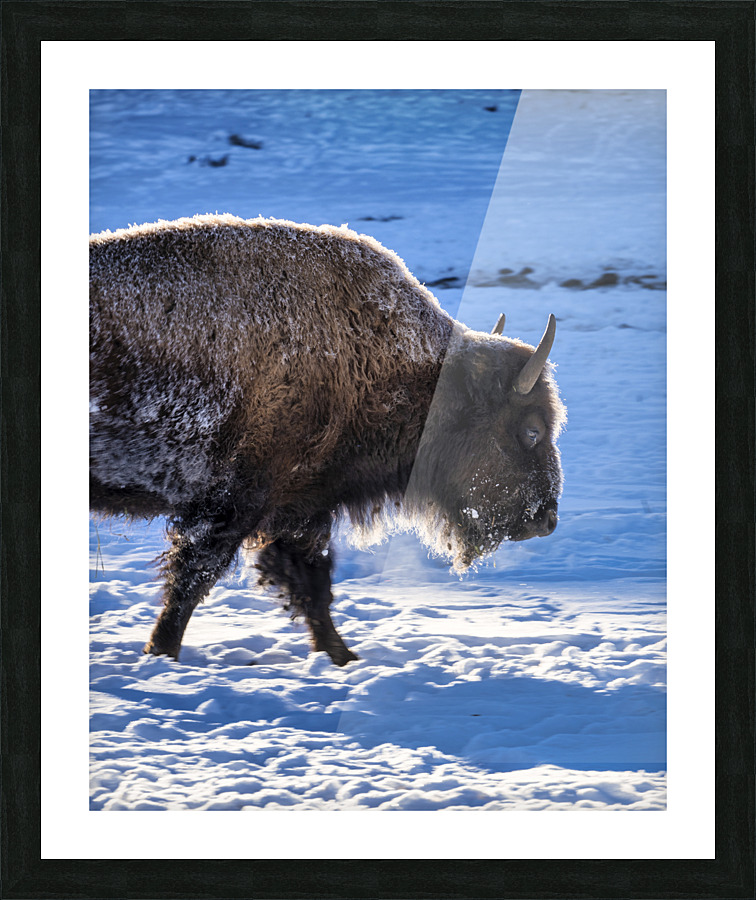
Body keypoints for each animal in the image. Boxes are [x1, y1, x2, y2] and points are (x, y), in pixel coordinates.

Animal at [90, 215, 566, 666]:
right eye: (532, 431)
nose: (546, 520)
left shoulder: (299, 507)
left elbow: (312, 585)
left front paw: (342, 657)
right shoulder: (233, 504)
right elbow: (193, 579)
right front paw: (161, 653)